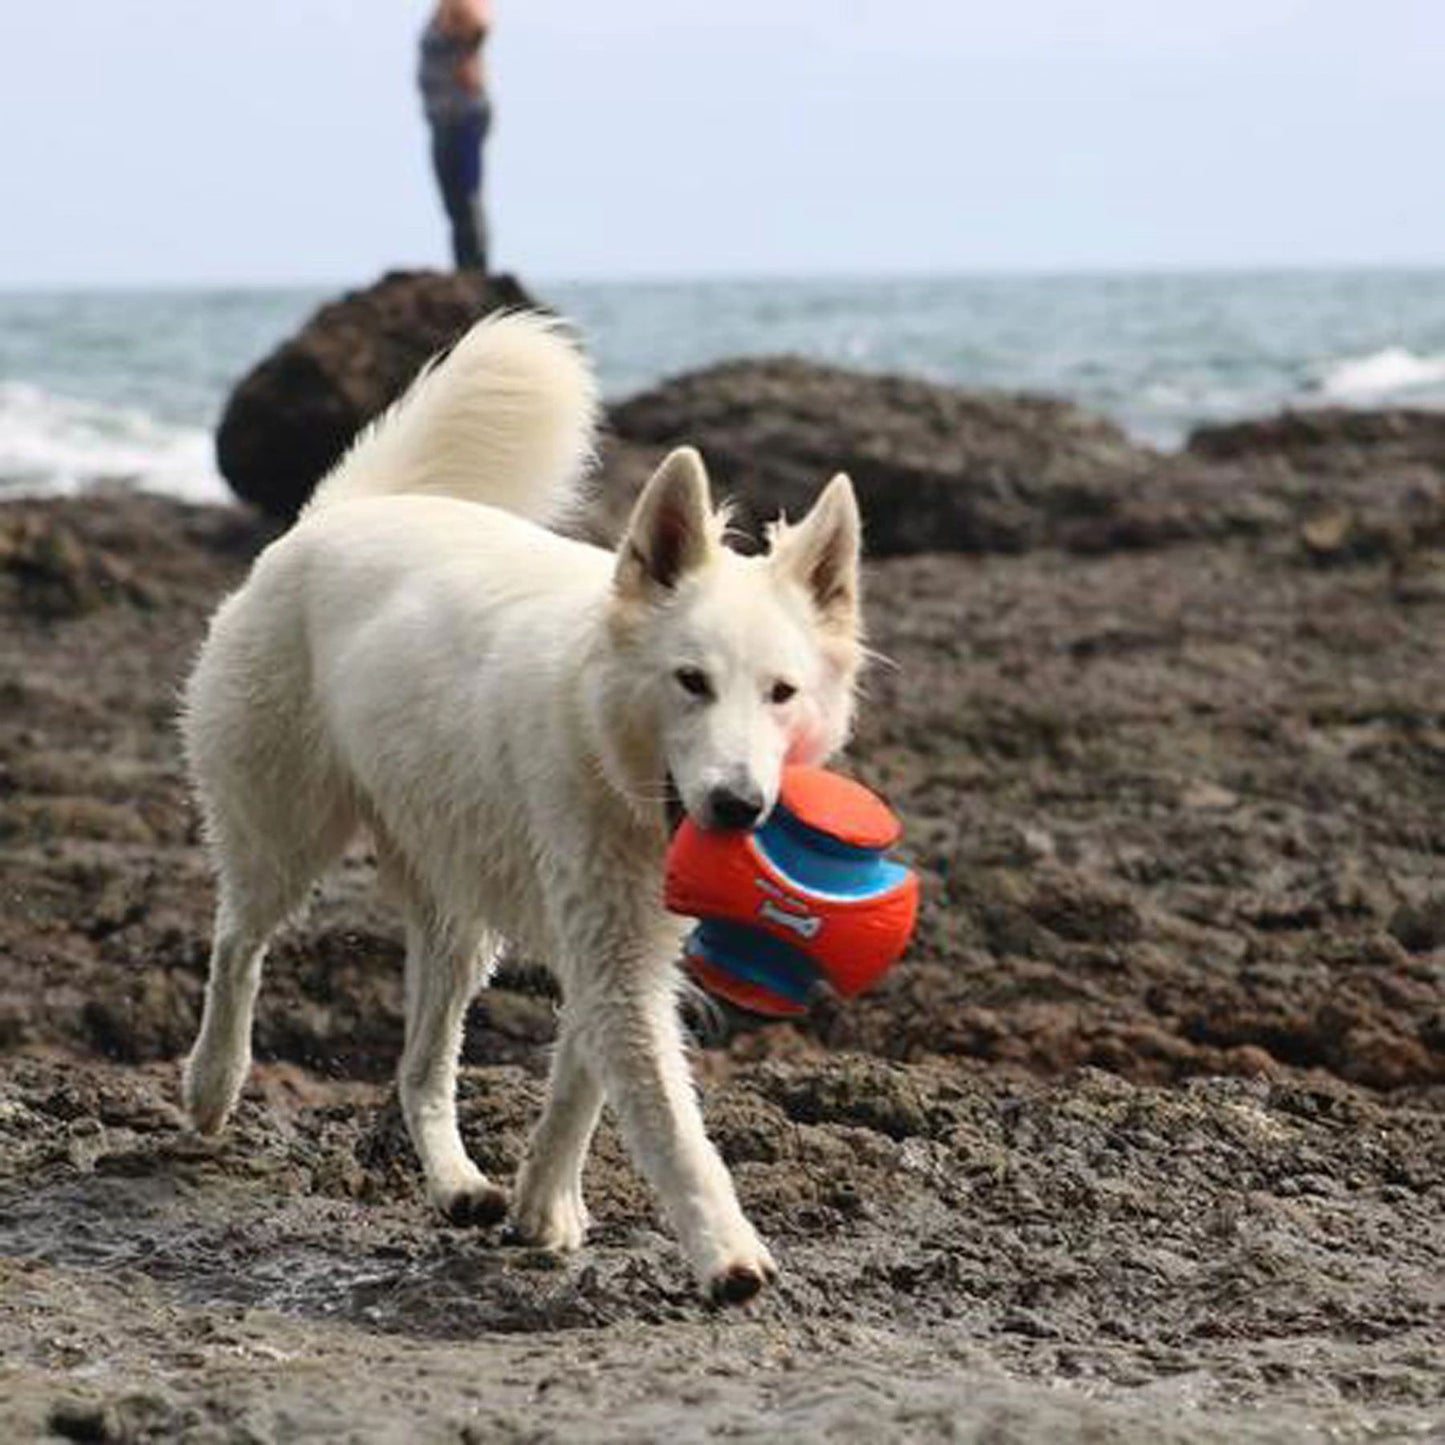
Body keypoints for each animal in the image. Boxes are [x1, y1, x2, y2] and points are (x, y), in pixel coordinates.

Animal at [177, 310, 855, 1306]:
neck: (606, 750)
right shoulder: (612, 958)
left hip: (459, 918)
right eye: (690, 681)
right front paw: (726, 1251)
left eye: (781, 692)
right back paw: (211, 1085)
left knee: (420, 1068)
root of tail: (336, 513)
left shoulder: (620, 950)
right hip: (284, 833)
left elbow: (578, 1087)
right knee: (236, 944)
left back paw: (460, 1184)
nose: (738, 807)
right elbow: (670, 1124)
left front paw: (543, 1208)